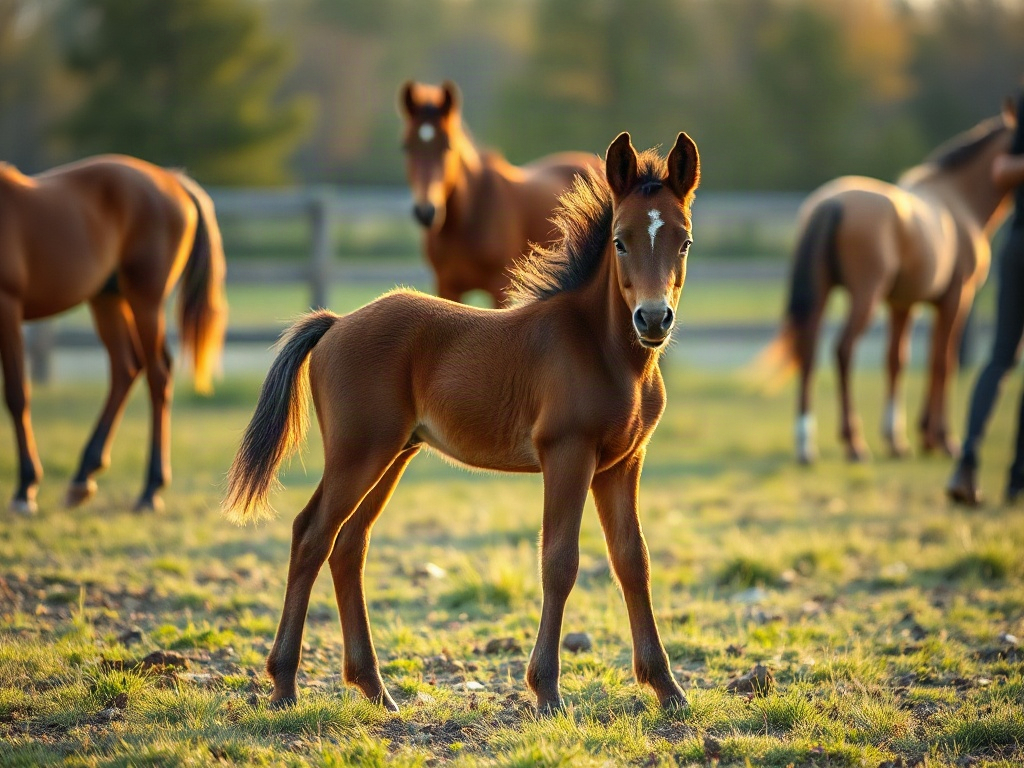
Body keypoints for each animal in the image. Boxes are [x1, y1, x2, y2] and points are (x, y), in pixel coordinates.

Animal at [0, 154, 227, 513]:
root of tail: (171, 180)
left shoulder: (7, 305)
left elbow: (16, 394)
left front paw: (25, 489)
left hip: (145, 298)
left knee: (157, 374)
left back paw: (149, 489)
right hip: (107, 298)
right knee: (126, 366)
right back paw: (84, 477)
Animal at [225, 131, 700, 713]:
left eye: (684, 241)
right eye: (620, 241)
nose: (653, 319)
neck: (605, 350)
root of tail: (336, 323)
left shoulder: (623, 462)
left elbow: (634, 560)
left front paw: (668, 688)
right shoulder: (567, 453)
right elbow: (559, 561)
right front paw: (547, 692)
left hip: (394, 453)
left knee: (349, 544)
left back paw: (375, 688)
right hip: (359, 452)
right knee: (312, 533)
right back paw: (285, 684)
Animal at [399, 80, 601, 306]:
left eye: (448, 145)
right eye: (406, 146)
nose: (426, 211)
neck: (469, 216)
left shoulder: (499, 288)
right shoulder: (446, 287)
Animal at [763, 104, 1017, 463]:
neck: (959, 200)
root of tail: (831, 203)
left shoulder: (902, 304)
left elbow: (897, 361)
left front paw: (899, 439)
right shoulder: (956, 297)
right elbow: (943, 361)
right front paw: (940, 439)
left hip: (821, 293)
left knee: (808, 352)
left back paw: (805, 444)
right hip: (865, 296)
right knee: (843, 349)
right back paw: (854, 442)